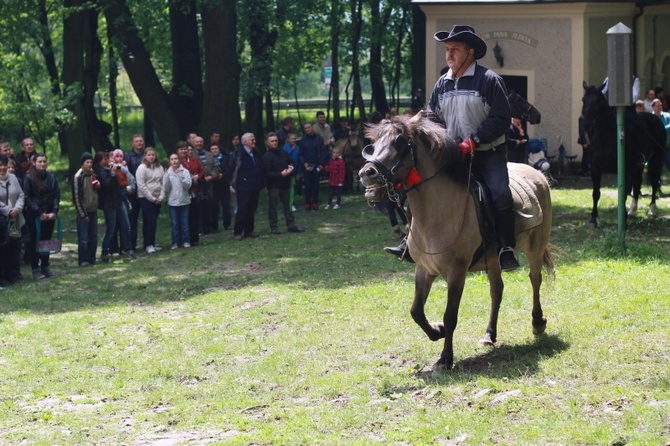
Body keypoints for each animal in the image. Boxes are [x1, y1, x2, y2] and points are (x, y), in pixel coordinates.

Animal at [362, 113, 556, 372]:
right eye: (376, 142)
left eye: (400, 142)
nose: (367, 173)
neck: (438, 213)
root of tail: (537, 174)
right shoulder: (424, 269)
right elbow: (416, 311)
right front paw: (437, 331)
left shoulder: (457, 273)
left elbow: (450, 315)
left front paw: (445, 358)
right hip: (493, 259)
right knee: (497, 290)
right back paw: (489, 334)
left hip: (535, 246)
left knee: (535, 279)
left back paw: (537, 322)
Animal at [580, 81, 668, 226]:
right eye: (583, 99)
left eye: (598, 101)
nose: (586, 124)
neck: (607, 139)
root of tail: (655, 118)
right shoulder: (595, 169)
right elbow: (596, 193)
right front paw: (593, 219)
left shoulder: (625, 170)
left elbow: (624, 194)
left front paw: (624, 220)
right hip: (638, 166)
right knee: (638, 183)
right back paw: (632, 211)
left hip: (655, 160)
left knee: (654, 183)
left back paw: (651, 210)